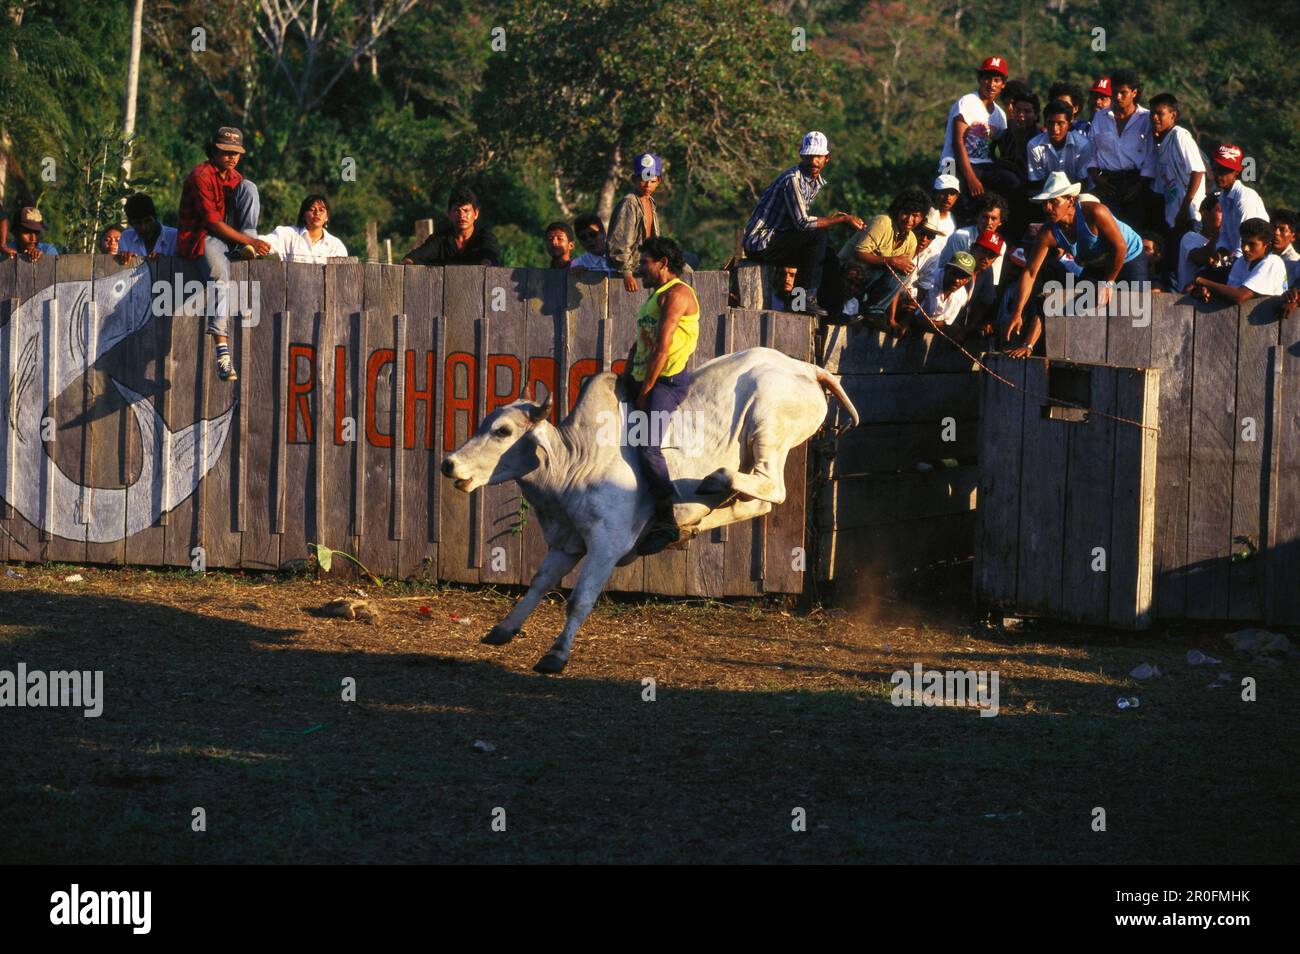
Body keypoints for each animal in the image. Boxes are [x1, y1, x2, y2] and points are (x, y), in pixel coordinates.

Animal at [441, 348, 857, 670]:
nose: (449, 464)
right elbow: (538, 585)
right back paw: (687, 522)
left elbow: (579, 599)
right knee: (756, 502)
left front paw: (556, 655)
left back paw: (713, 483)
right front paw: (503, 629)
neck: (575, 460)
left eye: (503, 431)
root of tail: (807, 368)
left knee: (773, 486)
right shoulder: (566, 544)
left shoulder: (605, 545)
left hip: (767, 426)